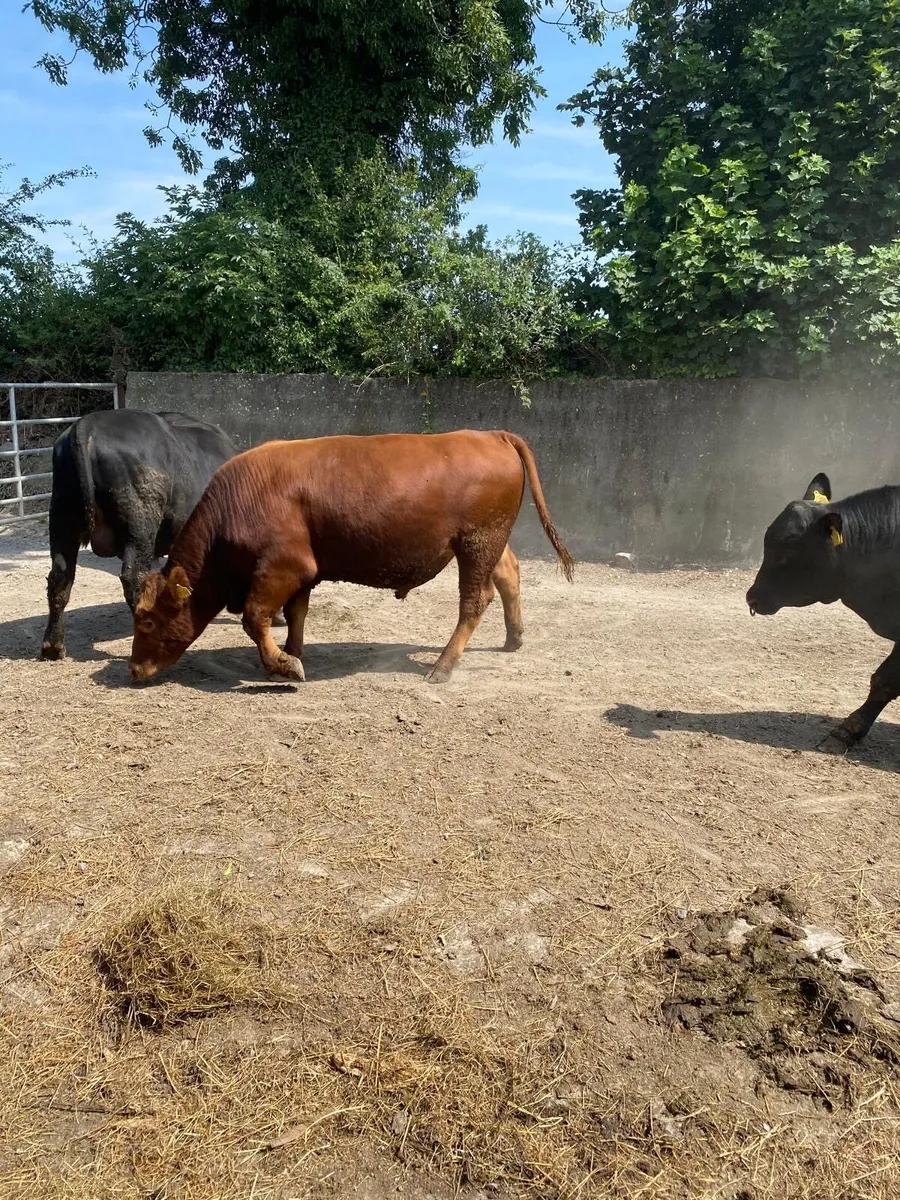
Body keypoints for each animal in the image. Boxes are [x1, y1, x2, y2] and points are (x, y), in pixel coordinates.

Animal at [40, 408, 237, 661]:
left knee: (60, 578)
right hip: (141, 525)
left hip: (63, 518)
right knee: (133, 577)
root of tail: (87, 424)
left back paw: (53, 646)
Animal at [128, 430, 575, 685]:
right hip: (485, 544)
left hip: (477, 544)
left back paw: (443, 667)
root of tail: (491, 434)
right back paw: (514, 638)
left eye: (147, 621)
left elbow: (255, 619)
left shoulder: (282, 570)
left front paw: (284, 666)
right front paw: (294, 651)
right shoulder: (302, 576)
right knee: (509, 574)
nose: (133, 670)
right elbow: (295, 614)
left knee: (475, 601)